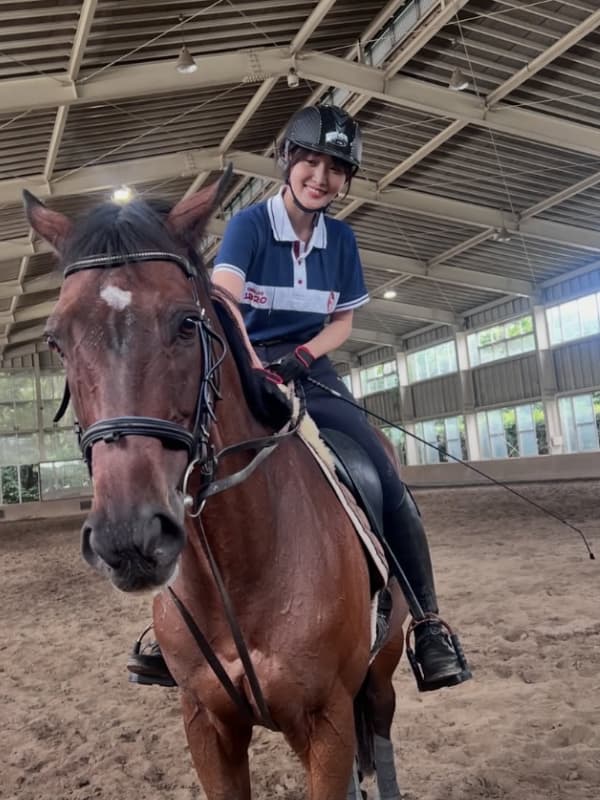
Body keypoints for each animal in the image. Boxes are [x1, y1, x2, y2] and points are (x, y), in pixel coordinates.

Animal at [24, 173, 407, 800]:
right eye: (57, 339)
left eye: (186, 322)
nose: (130, 538)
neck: (238, 564)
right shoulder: (207, 725)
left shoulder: (327, 725)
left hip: (381, 672)